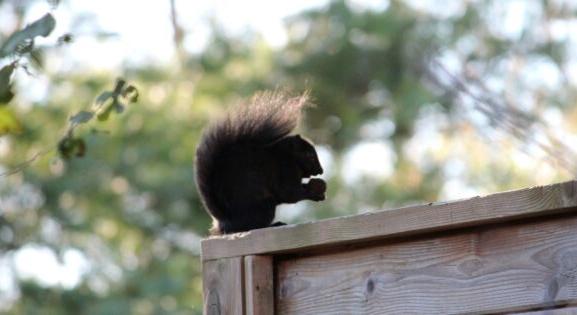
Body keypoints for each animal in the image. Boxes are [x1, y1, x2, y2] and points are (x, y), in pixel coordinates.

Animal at [195, 90, 324, 235]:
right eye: (309, 155)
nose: (321, 171)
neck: (288, 156)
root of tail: (226, 222)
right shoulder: (286, 170)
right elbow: (290, 194)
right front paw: (314, 192)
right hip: (265, 206)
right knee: (252, 226)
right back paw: (274, 225)